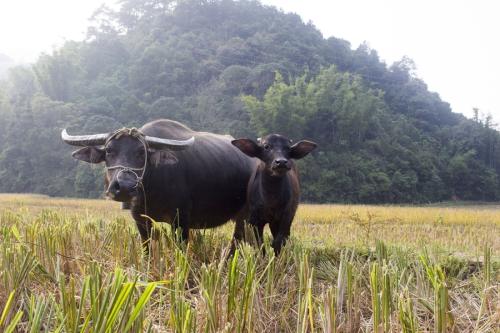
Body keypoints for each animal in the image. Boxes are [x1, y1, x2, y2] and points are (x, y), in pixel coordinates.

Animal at [62, 119, 256, 244]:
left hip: (246, 217)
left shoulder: (181, 220)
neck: (151, 189)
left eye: (142, 152)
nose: (124, 187)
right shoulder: (140, 220)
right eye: (109, 150)